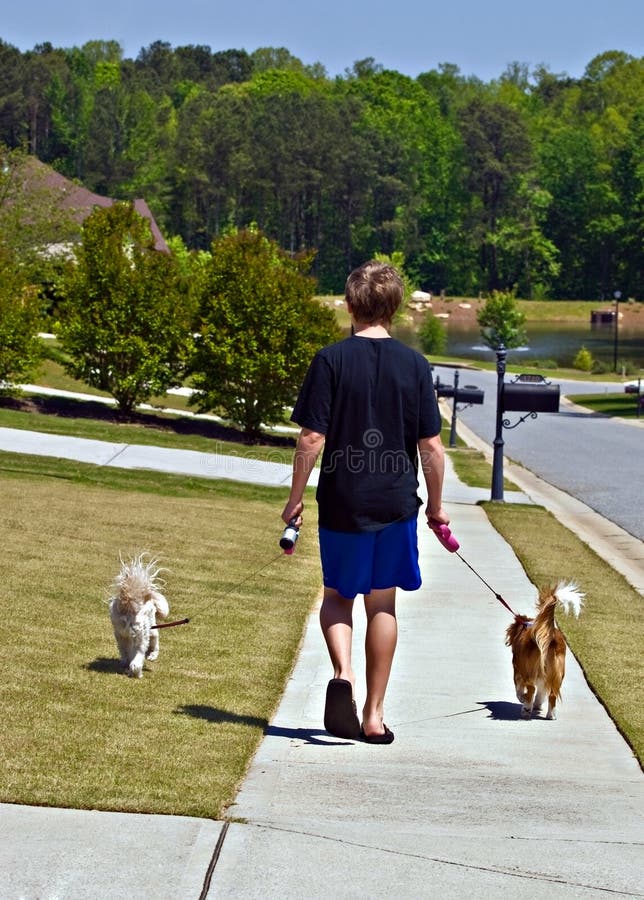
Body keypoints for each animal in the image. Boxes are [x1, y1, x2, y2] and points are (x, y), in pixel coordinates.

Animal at [109, 552, 170, 680]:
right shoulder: (151, 630)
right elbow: (155, 643)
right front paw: (152, 655)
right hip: (143, 633)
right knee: (138, 659)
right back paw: (138, 673)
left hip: (122, 634)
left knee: (127, 654)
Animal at [506, 580, 588, 720]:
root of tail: (550, 636)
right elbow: (541, 692)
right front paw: (538, 704)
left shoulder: (517, 668)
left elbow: (519, 688)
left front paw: (523, 699)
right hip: (557, 672)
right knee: (552, 694)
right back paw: (551, 715)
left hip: (529, 669)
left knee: (531, 688)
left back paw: (526, 709)